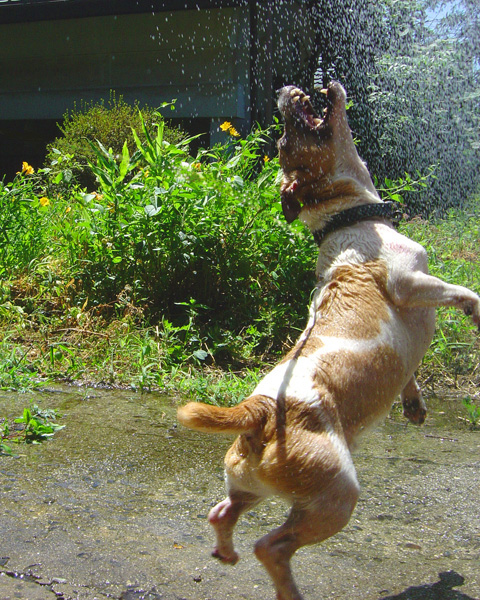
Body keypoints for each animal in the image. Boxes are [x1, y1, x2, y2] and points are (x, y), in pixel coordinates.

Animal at [177, 81, 480, 600]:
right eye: (285, 140)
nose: (286, 90)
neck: (347, 220)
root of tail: (260, 410)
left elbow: (410, 372)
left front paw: (415, 404)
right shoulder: (412, 283)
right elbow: (463, 292)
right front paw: (476, 312)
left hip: (253, 488)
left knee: (223, 513)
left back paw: (227, 551)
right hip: (336, 494)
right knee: (271, 547)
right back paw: (286, 587)